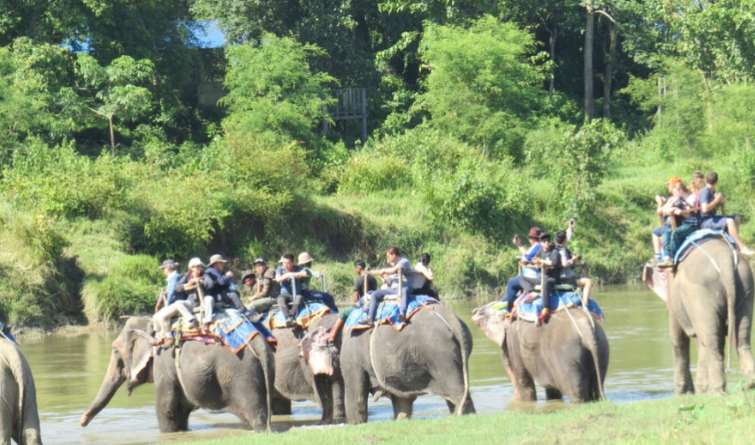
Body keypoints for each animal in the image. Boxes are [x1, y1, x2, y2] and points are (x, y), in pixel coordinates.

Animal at [79, 316, 275, 432]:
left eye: (115, 350)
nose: (82, 421)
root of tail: (259, 342)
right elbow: (180, 411)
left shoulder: (163, 363)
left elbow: (166, 410)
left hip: (242, 374)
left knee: (255, 412)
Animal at [304, 304, 475, 424]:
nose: (321, 424)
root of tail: (452, 318)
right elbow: (402, 400)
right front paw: (401, 420)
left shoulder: (351, 355)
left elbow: (356, 397)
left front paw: (355, 424)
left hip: (439, 355)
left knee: (456, 388)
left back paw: (461, 416)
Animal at [472, 302, 608, 402]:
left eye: (489, 307)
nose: (474, 311)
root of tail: (586, 328)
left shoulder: (513, 338)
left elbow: (523, 379)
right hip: (601, 347)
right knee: (597, 386)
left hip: (567, 356)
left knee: (576, 391)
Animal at [643, 237, 755, 394]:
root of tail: (725, 261)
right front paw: (698, 391)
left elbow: (678, 339)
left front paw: (683, 394)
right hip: (746, 286)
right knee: (739, 339)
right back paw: (748, 384)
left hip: (702, 293)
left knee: (711, 342)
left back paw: (715, 392)